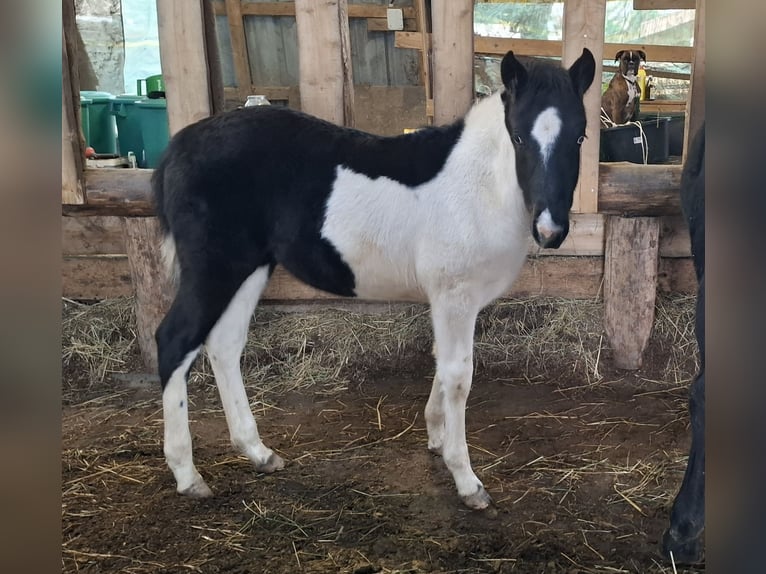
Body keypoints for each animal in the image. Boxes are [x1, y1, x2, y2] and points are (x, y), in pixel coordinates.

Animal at [153, 48, 596, 508]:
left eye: (579, 138)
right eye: (519, 138)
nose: (550, 230)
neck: (480, 184)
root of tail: (178, 147)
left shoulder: (449, 301)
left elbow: (441, 363)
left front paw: (436, 437)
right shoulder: (454, 296)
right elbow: (458, 375)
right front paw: (466, 479)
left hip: (251, 267)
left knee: (224, 345)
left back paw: (258, 452)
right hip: (214, 268)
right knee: (175, 341)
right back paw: (188, 475)